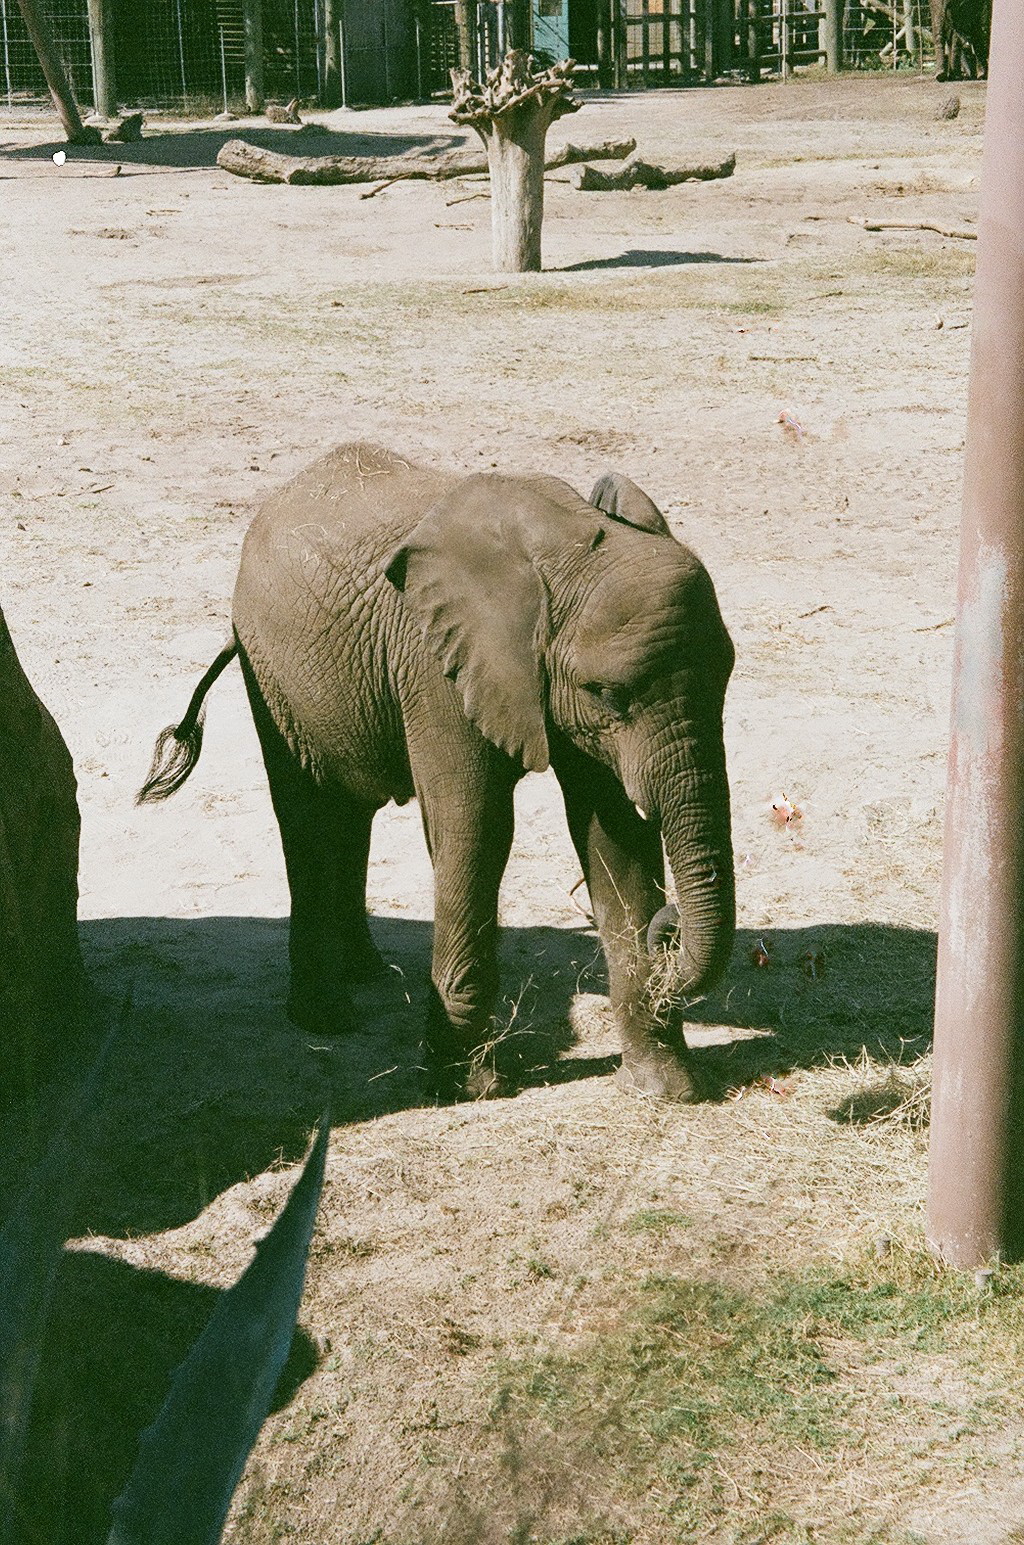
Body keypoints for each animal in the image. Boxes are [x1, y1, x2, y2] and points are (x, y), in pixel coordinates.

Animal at [139, 443, 735, 1102]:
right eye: (606, 692)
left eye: (728, 673)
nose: (669, 926)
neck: (567, 550)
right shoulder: (439, 668)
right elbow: (476, 829)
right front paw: (465, 1087)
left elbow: (616, 841)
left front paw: (664, 1087)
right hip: (273, 672)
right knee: (309, 815)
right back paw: (327, 1017)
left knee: (350, 814)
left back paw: (368, 973)